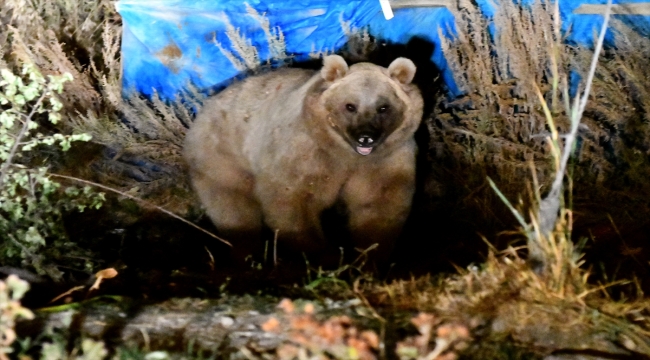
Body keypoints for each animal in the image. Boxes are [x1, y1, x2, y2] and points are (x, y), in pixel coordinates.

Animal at [185, 54, 422, 266]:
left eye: (383, 107)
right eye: (350, 106)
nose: (365, 136)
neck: (343, 152)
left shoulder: (385, 158)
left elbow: (378, 203)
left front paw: (368, 256)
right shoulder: (306, 151)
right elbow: (293, 199)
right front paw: (328, 257)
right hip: (223, 154)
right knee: (232, 204)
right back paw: (247, 253)